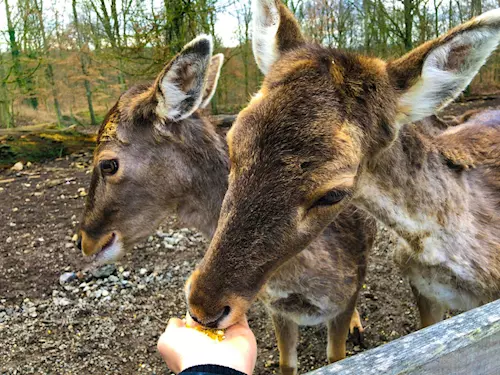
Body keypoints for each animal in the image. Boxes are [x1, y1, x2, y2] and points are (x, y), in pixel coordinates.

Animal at [76, 36, 376, 375]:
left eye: (108, 164)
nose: (85, 240)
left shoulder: (344, 293)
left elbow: (338, 357)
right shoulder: (275, 307)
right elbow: (287, 363)